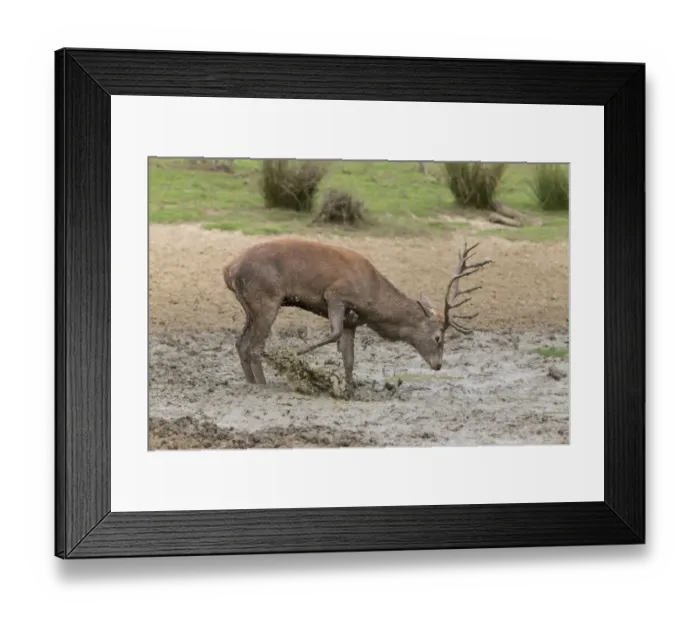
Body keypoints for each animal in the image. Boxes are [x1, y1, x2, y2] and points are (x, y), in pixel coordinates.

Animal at [222, 237, 491, 388]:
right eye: (438, 337)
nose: (438, 365)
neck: (372, 303)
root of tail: (229, 269)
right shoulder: (335, 294)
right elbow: (333, 334)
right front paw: (295, 356)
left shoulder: (353, 320)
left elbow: (349, 358)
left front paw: (351, 389)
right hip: (267, 299)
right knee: (254, 347)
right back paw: (265, 385)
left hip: (251, 306)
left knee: (241, 344)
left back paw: (251, 383)